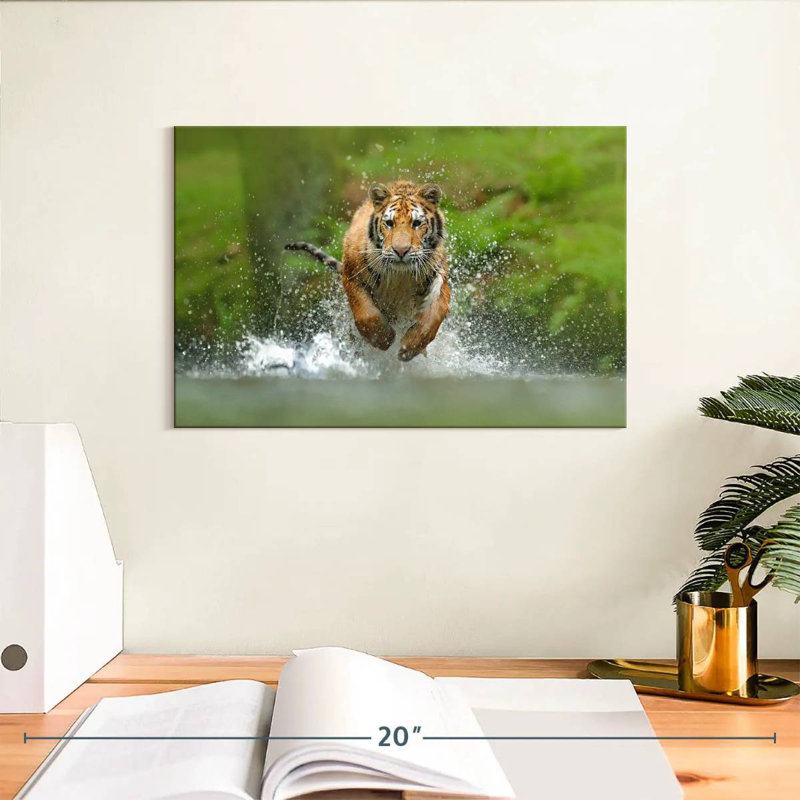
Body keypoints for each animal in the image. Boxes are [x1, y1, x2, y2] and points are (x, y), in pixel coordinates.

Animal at [286, 180, 450, 361]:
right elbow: (366, 313)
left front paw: (410, 347)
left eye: (416, 223)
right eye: (389, 223)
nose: (401, 251)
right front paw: (384, 339)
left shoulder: (439, 277)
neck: (400, 276)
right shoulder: (351, 275)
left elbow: (435, 315)